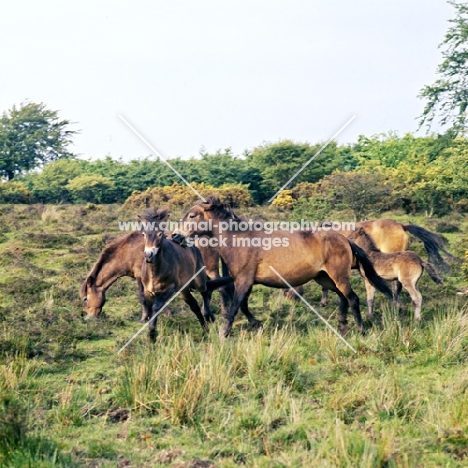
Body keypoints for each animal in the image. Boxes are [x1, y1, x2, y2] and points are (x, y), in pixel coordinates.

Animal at [172, 197, 392, 336]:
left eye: (192, 215)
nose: (175, 236)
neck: (240, 241)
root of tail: (345, 240)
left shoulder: (244, 280)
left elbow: (235, 306)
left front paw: (223, 333)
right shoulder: (246, 281)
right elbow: (242, 305)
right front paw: (257, 325)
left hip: (339, 277)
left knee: (352, 298)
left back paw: (360, 330)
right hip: (326, 279)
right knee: (343, 299)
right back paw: (343, 328)